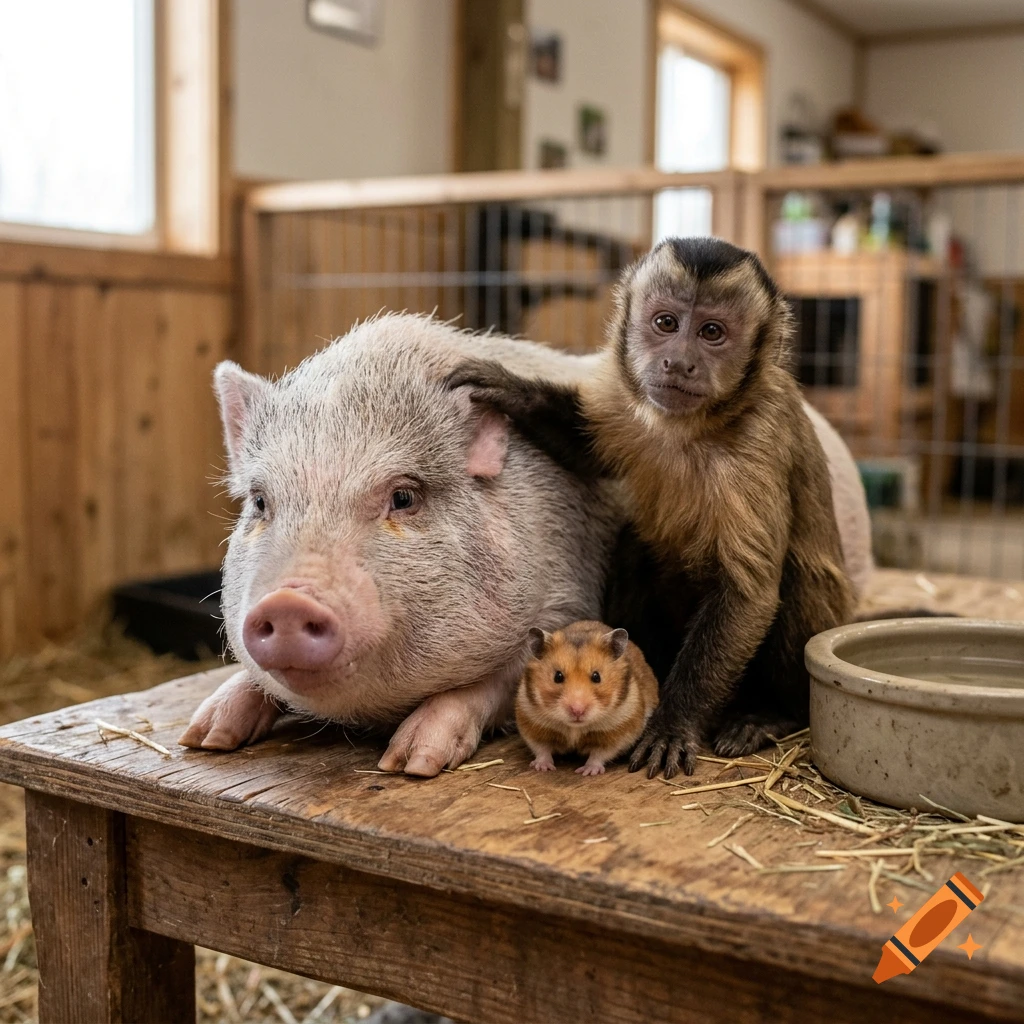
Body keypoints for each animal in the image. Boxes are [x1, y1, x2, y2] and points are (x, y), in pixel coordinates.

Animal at [179, 314, 623, 775]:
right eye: (260, 501)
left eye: (404, 498)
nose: (288, 603)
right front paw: (203, 738)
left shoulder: (569, 596)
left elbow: (499, 681)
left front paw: (410, 763)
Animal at [515, 620, 659, 775]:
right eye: (558, 676)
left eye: (596, 676)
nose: (577, 711)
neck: (575, 728)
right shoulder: (532, 724)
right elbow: (542, 749)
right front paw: (542, 767)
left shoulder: (619, 731)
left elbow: (599, 754)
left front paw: (587, 771)